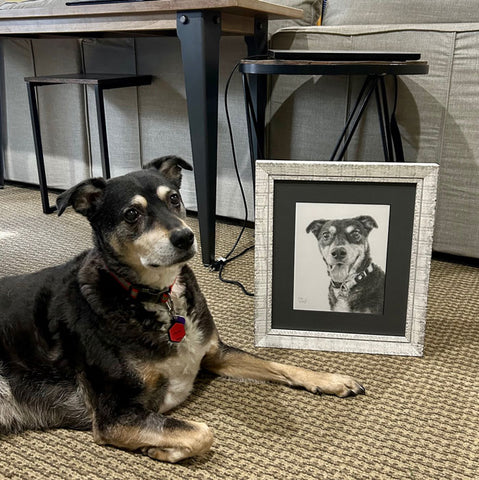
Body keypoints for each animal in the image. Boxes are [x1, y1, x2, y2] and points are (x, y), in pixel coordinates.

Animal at [0, 159, 366, 464]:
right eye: (131, 214)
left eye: (174, 198)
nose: (185, 237)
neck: (161, 297)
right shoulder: (113, 415)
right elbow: (203, 433)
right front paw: (158, 449)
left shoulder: (214, 353)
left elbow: (279, 364)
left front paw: (331, 380)